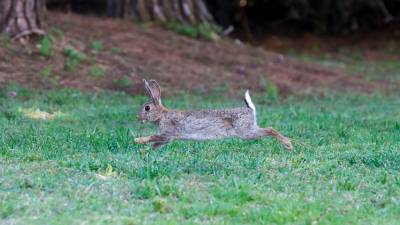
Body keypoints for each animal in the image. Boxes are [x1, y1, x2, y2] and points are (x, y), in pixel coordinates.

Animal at [135, 79, 294, 151]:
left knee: (271, 129)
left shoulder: (168, 132)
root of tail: (250, 109)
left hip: (246, 132)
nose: (137, 118)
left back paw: (288, 145)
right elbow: (156, 144)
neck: (161, 115)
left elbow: (152, 137)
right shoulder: (166, 138)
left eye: (147, 108)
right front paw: (145, 152)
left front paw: (138, 140)